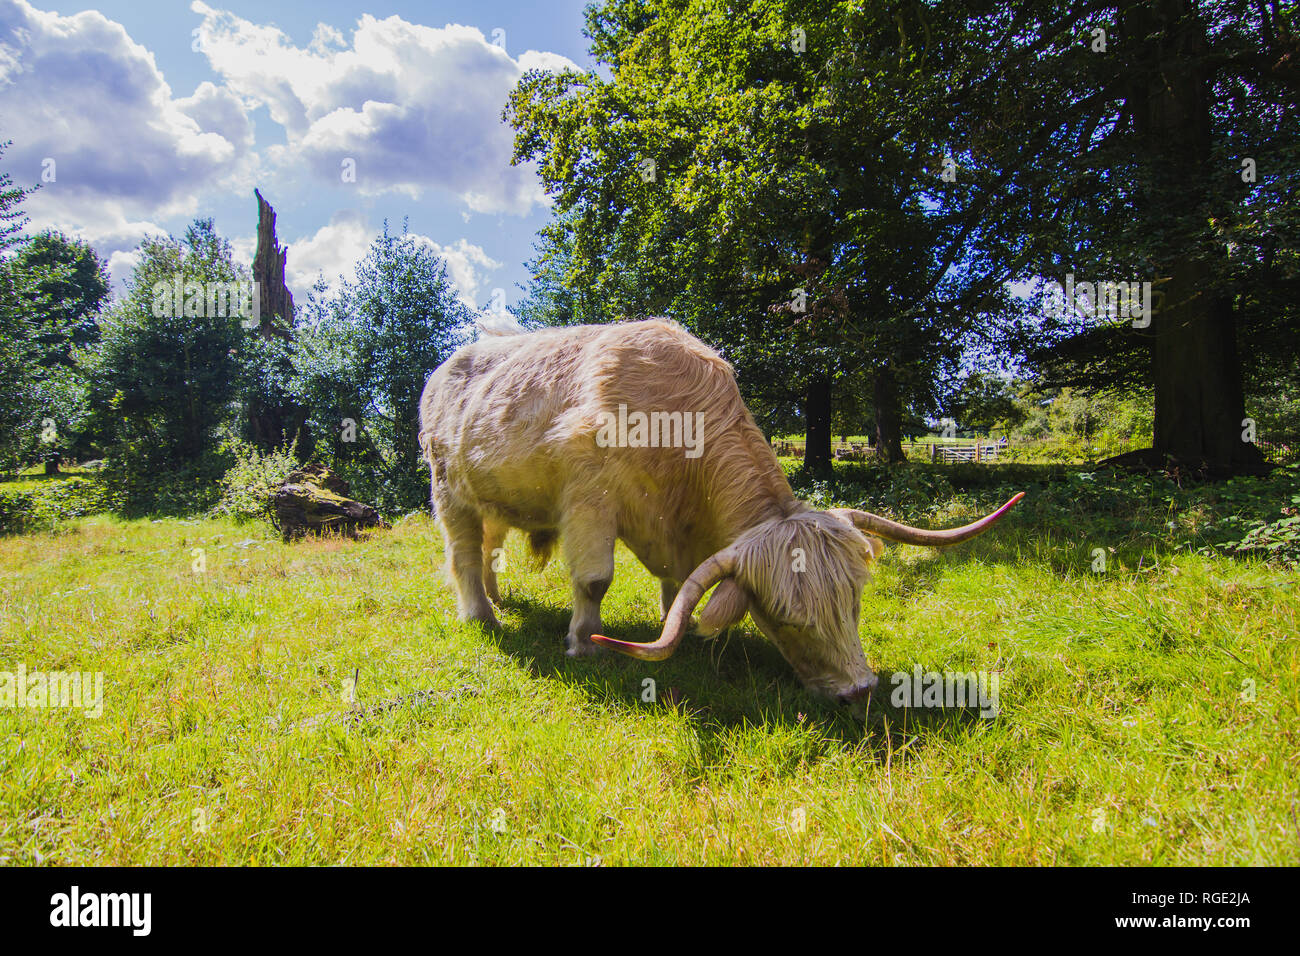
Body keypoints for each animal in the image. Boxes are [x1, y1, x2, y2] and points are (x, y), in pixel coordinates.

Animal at [418, 318, 1023, 704]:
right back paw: (481, 614)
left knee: (489, 548)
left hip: (494, 499)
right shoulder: (590, 502)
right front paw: (584, 643)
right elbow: (594, 580)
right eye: (783, 616)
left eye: (853, 603)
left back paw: (497, 598)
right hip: (449, 491)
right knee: (464, 554)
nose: (860, 691)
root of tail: (447, 366)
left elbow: (680, 583)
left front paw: (675, 624)